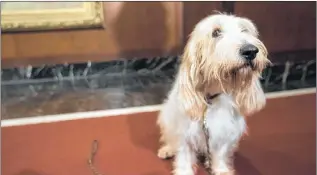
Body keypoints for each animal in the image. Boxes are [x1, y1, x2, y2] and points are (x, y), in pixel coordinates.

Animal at [157, 13, 270, 175]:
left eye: (244, 30)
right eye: (216, 32)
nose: (250, 51)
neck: (212, 98)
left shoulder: (224, 131)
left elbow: (220, 153)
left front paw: (221, 169)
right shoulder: (185, 133)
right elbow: (184, 155)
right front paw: (184, 170)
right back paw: (167, 149)